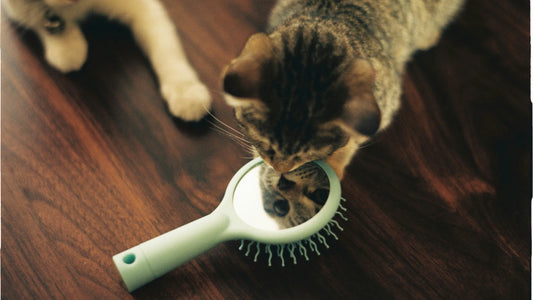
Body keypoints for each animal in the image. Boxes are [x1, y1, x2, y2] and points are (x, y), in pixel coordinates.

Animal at [3, 0, 210, 122]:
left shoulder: (145, 8)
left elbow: (167, 50)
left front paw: (186, 91)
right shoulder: (13, 8)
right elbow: (33, 16)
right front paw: (66, 44)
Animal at [222, 0, 464, 178]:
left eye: (305, 155)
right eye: (266, 145)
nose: (280, 169)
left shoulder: (385, 102)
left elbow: (352, 141)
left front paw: (335, 163)